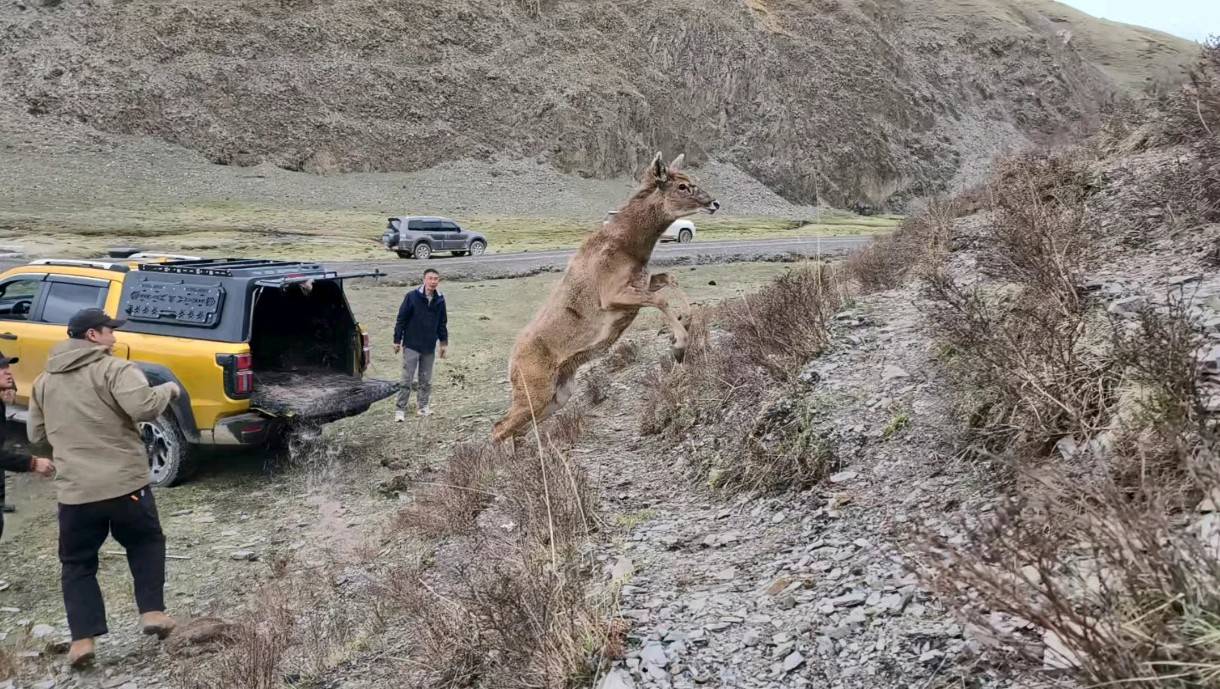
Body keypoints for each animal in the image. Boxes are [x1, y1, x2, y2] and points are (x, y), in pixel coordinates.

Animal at [492, 152, 719, 443]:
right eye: (681, 186)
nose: (714, 203)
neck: (627, 247)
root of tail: (512, 362)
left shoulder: (642, 282)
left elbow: (670, 278)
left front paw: (685, 322)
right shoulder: (611, 295)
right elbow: (660, 300)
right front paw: (679, 344)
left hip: (558, 395)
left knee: (515, 429)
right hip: (534, 389)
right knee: (498, 428)